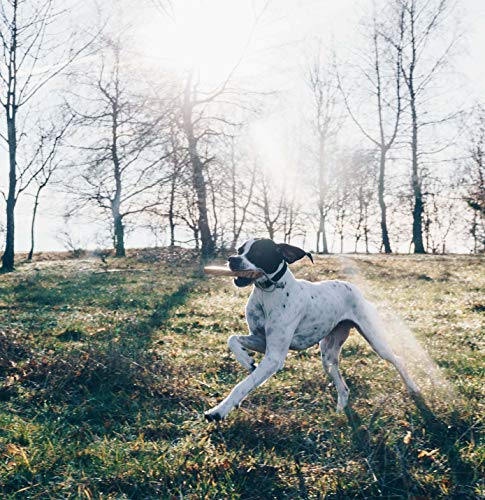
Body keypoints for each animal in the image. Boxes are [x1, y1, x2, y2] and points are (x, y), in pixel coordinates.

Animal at [202, 238, 418, 422]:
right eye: (240, 250)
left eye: (258, 252)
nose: (232, 259)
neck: (269, 293)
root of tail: (353, 287)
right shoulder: (262, 341)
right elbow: (232, 339)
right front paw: (247, 361)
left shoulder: (274, 357)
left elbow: (243, 385)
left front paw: (218, 410)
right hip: (328, 356)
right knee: (344, 388)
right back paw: (339, 414)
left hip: (375, 340)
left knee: (398, 360)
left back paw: (413, 388)